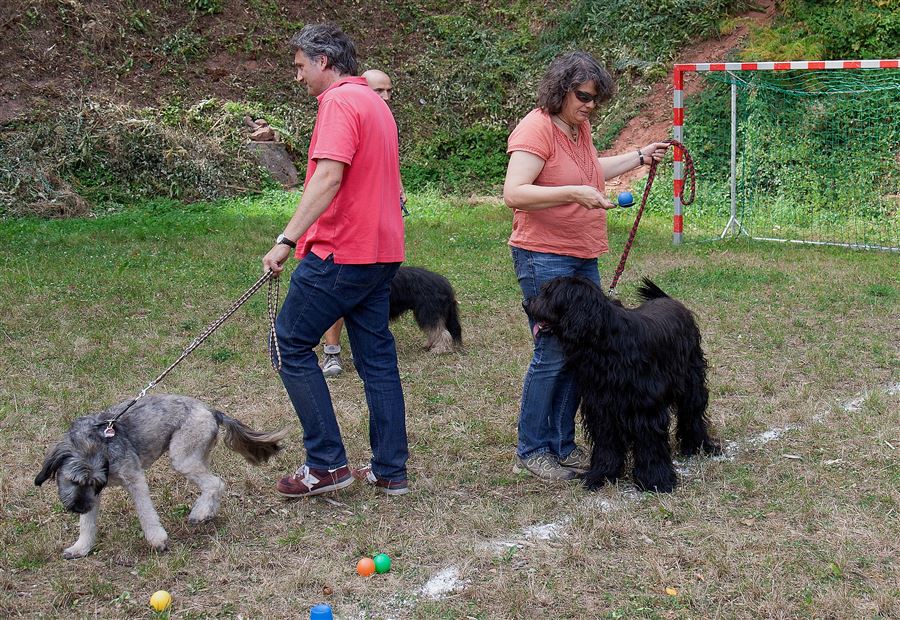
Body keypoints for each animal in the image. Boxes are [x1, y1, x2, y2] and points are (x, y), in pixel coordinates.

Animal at [35, 395, 289, 559]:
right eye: (73, 481)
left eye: (89, 482)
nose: (79, 507)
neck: (98, 441)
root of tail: (211, 410)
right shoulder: (94, 494)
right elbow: (87, 524)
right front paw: (80, 548)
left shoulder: (134, 478)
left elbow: (146, 514)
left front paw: (158, 540)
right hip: (197, 456)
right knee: (213, 484)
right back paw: (207, 512)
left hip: (182, 457)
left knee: (216, 483)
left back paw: (199, 513)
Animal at [523, 276, 721, 493]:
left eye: (549, 294)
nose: (525, 304)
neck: (605, 341)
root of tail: (670, 300)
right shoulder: (602, 409)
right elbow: (607, 446)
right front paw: (602, 475)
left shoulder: (645, 409)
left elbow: (650, 445)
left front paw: (656, 480)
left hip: (691, 382)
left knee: (692, 415)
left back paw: (699, 446)